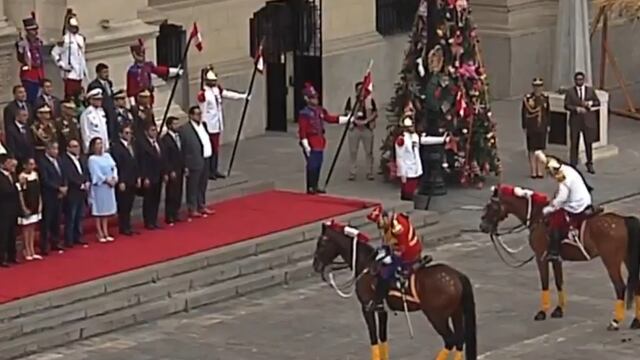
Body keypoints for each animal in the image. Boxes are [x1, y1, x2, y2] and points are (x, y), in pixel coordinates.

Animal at [312, 222, 478, 360]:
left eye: (321, 243)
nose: (315, 265)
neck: (366, 264)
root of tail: (455, 275)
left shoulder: (367, 308)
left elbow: (374, 338)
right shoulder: (381, 310)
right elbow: (382, 338)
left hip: (437, 316)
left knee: (450, 340)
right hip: (456, 313)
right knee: (460, 341)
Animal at [478, 184, 640, 330]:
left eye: (492, 206)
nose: (482, 226)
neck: (539, 217)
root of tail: (623, 220)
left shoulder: (541, 257)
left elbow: (545, 283)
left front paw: (542, 312)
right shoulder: (556, 259)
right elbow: (559, 282)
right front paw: (558, 309)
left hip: (611, 261)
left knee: (620, 287)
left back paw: (615, 321)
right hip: (627, 259)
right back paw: (636, 321)